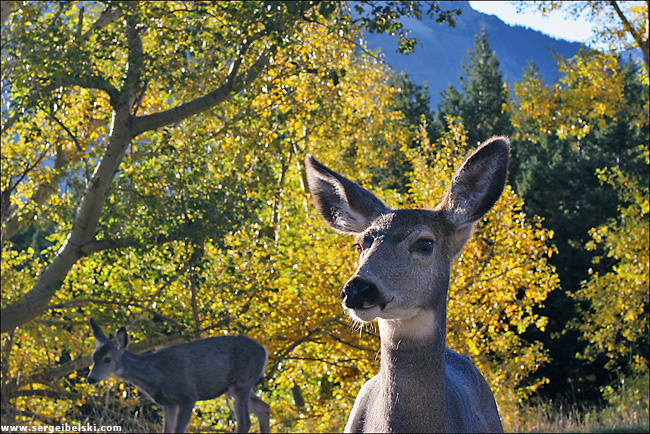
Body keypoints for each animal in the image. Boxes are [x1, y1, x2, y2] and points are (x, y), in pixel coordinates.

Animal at [87, 318, 271, 433]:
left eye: (107, 359)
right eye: (93, 357)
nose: (91, 378)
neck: (156, 374)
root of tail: (264, 351)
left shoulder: (188, 395)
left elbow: (179, 430)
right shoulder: (168, 403)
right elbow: (167, 430)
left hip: (242, 381)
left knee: (244, 422)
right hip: (230, 389)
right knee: (264, 408)